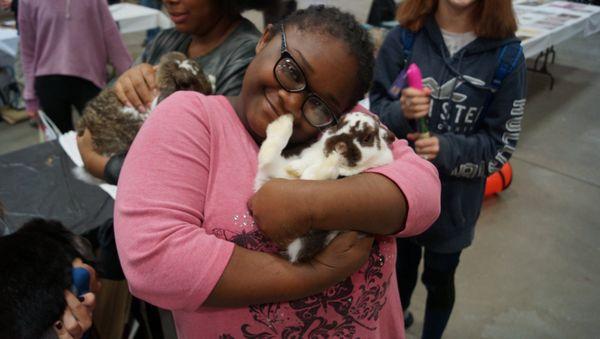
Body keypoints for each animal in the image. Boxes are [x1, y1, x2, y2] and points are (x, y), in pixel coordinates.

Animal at [253, 111, 394, 262]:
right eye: (339, 124)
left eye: (367, 138)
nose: (339, 144)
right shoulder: (311, 155)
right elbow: (306, 164)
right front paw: (296, 168)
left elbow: (311, 175)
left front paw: (331, 160)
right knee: (268, 155)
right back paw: (285, 121)